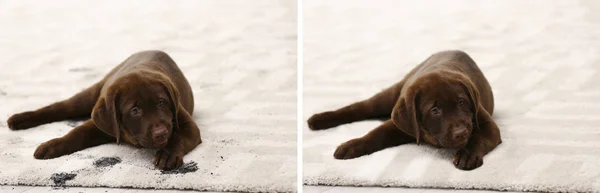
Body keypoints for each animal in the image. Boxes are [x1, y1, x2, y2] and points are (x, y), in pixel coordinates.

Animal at [5, 50, 202, 170]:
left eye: (162, 102)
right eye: (134, 110)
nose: (161, 133)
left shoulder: (187, 124)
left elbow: (178, 136)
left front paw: (167, 154)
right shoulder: (102, 124)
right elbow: (77, 133)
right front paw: (52, 145)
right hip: (90, 96)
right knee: (61, 107)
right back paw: (19, 119)